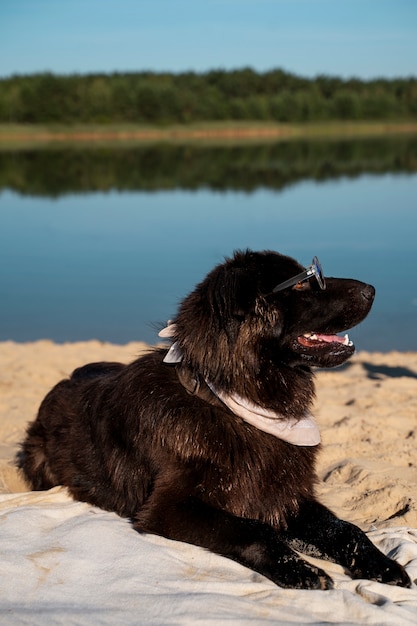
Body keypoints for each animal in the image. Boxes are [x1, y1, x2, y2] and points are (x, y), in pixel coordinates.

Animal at [17, 249, 410, 584]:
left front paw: (382, 565)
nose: (373, 289)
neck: (230, 402)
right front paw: (300, 569)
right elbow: (254, 528)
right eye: (301, 284)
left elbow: (344, 528)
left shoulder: (286, 495)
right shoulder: (169, 508)